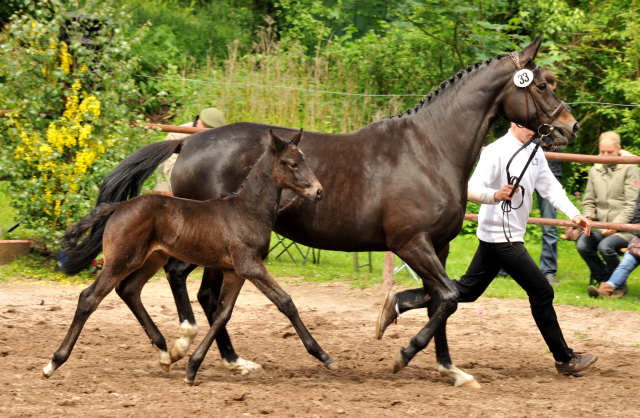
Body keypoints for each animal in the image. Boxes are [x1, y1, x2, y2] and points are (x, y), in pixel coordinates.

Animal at [43, 131, 336, 386]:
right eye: (292, 164)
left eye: (305, 160)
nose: (319, 191)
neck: (247, 210)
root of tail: (120, 205)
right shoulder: (250, 266)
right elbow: (285, 302)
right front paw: (324, 355)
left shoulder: (235, 271)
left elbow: (222, 315)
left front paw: (193, 367)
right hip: (121, 260)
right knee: (89, 298)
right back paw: (53, 363)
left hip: (151, 259)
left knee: (128, 290)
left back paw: (164, 352)